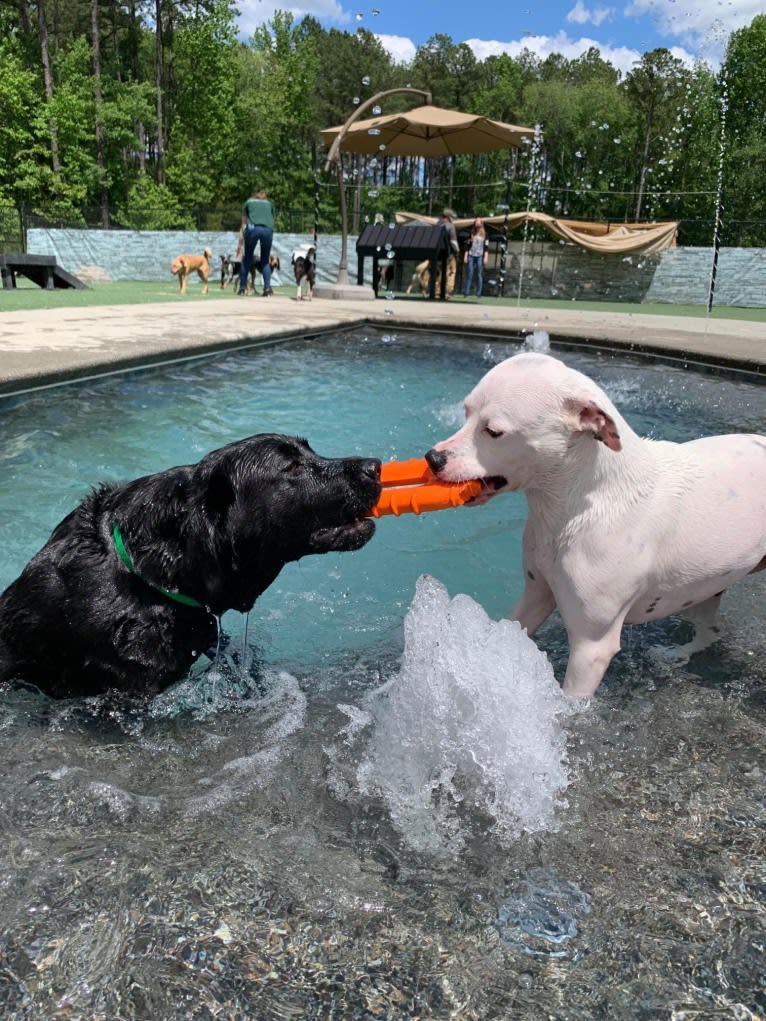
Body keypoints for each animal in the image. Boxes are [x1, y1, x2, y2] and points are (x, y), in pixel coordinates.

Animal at [426, 355, 766, 698]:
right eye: (466, 412)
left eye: (493, 431)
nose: (432, 458)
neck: (575, 507)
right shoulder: (536, 595)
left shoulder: (591, 647)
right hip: (704, 585)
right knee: (710, 631)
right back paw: (678, 654)